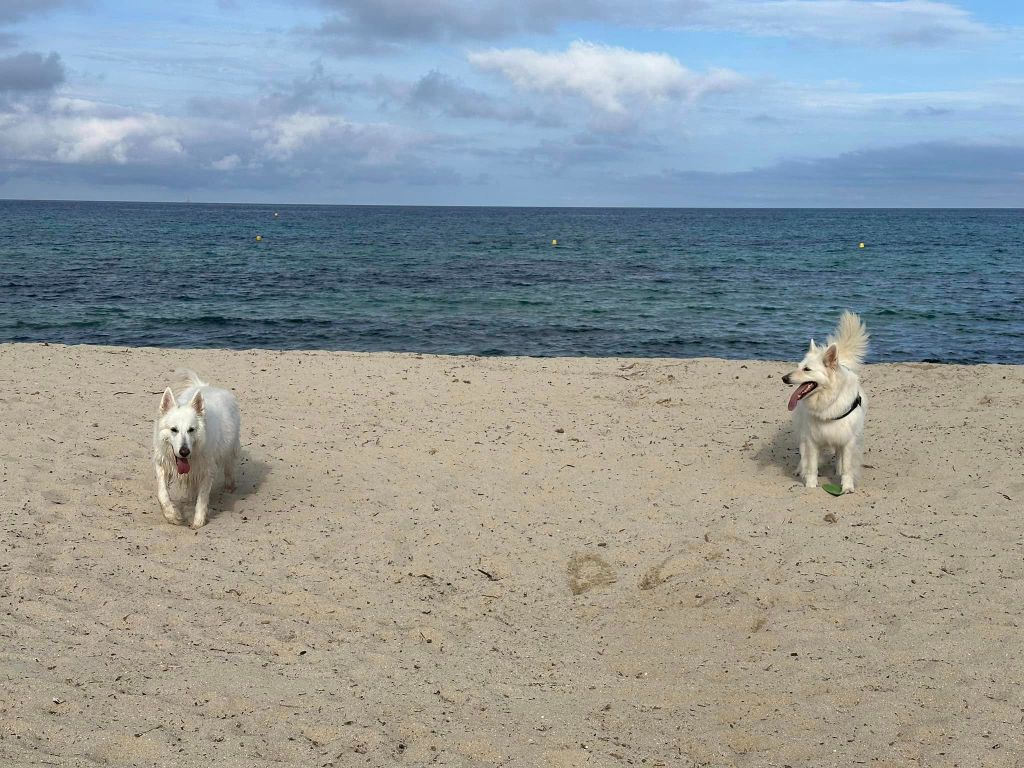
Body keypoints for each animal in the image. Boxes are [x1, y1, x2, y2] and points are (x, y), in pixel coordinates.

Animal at [152, 370, 240, 528]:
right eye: (174, 430)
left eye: (191, 430)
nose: (184, 452)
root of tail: (204, 386)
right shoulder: (162, 464)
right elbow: (162, 494)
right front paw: (172, 516)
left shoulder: (207, 471)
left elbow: (202, 498)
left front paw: (198, 521)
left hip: (230, 450)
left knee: (229, 468)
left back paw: (229, 487)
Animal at [778, 311, 868, 493]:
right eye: (798, 366)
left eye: (807, 369)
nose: (784, 378)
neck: (828, 403)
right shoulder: (812, 440)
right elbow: (811, 465)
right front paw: (811, 485)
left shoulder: (848, 440)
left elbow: (847, 466)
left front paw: (847, 486)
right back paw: (800, 469)